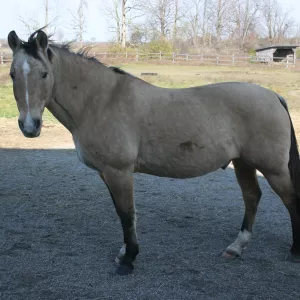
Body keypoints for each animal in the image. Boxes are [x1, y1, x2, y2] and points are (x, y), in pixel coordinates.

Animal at [7, 29, 300, 276]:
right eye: (12, 74)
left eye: (44, 74)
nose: (30, 126)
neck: (101, 101)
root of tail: (274, 96)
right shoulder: (106, 173)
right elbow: (123, 213)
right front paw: (124, 252)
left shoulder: (119, 172)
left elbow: (126, 214)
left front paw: (128, 260)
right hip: (243, 163)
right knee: (252, 197)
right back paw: (236, 247)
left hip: (272, 169)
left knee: (290, 200)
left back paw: (294, 251)